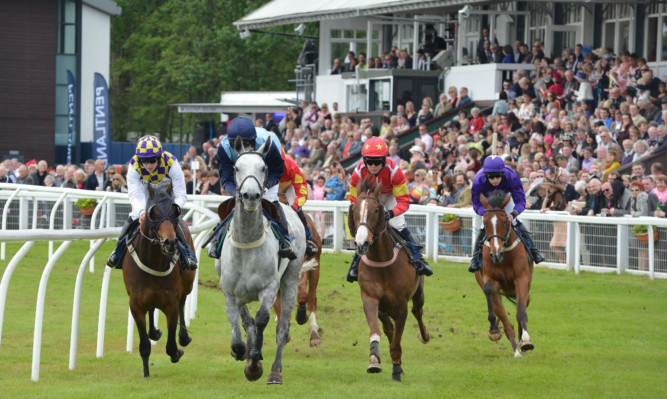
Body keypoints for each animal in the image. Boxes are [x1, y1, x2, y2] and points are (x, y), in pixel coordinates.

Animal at [122, 185, 196, 378]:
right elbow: (144, 345)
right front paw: (146, 373)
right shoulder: (136, 304)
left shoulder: (171, 303)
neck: (153, 261)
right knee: (152, 308)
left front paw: (176, 351)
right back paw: (154, 332)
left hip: (188, 282)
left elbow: (170, 345)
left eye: (175, 210)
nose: (170, 242)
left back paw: (183, 337)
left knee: (183, 301)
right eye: (153, 212)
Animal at [215, 137, 306, 384]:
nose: (251, 196)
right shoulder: (230, 291)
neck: (247, 242)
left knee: (282, 328)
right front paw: (242, 352)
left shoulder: (269, 286)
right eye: (237, 168)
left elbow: (262, 318)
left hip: (291, 279)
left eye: (263, 167)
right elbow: (240, 325)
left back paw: (275, 371)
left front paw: (255, 361)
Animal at [348, 177, 430, 382]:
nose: (361, 243)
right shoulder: (370, 299)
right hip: (384, 309)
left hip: (418, 293)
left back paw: (424, 335)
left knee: (418, 311)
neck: (382, 261)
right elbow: (376, 331)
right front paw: (374, 361)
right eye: (354, 210)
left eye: (377, 210)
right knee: (388, 328)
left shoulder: (401, 306)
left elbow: (396, 342)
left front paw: (396, 371)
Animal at [474, 191, 536, 360]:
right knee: (506, 322)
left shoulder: (521, 279)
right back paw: (515, 350)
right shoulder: (490, 280)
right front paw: (494, 329)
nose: (496, 254)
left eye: (504, 221)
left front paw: (526, 340)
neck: (504, 257)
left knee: (523, 305)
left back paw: (521, 342)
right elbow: (488, 289)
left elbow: (521, 312)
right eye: (485, 222)